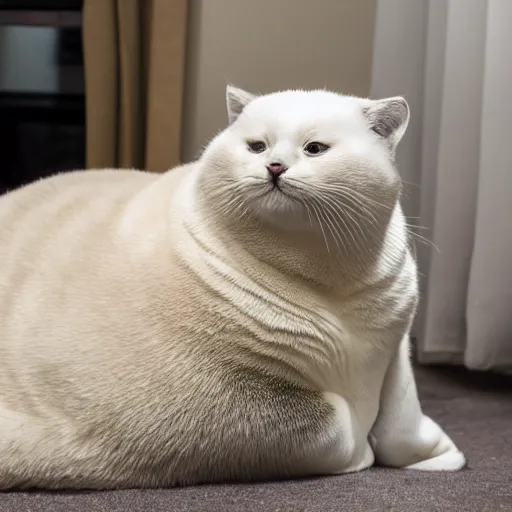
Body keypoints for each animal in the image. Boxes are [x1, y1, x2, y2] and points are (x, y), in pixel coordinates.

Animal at [0, 86, 466, 490]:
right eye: (257, 147)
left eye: (314, 149)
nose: (274, 166)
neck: (331, 280)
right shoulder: (203, 405)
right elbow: (339, 425)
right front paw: (365, 449)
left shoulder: (397, 343)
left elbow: (402, 419)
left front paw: (439, 457)